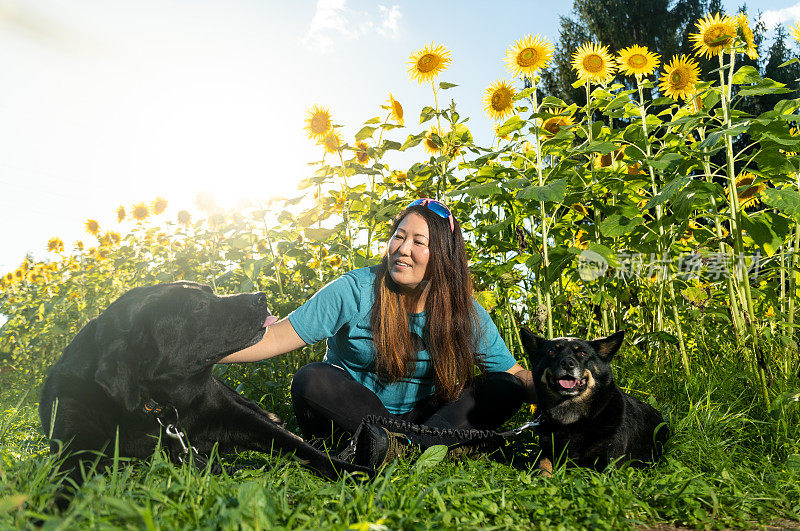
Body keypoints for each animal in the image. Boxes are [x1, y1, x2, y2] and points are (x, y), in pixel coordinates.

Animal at [39, 280, 372, 500]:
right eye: (198, 306)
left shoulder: (233, 414)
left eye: (210, 292)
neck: (161, 404)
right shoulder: (74, 444)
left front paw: (355, 472)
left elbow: (297, 446)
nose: (261, 296)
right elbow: (64, 486)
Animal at [520, 328, 668, 474]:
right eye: (551, 351)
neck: (570, 416)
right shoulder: (546, 451)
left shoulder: (609, 462)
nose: (567, 363)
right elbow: (543, 467)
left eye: (582, 353)